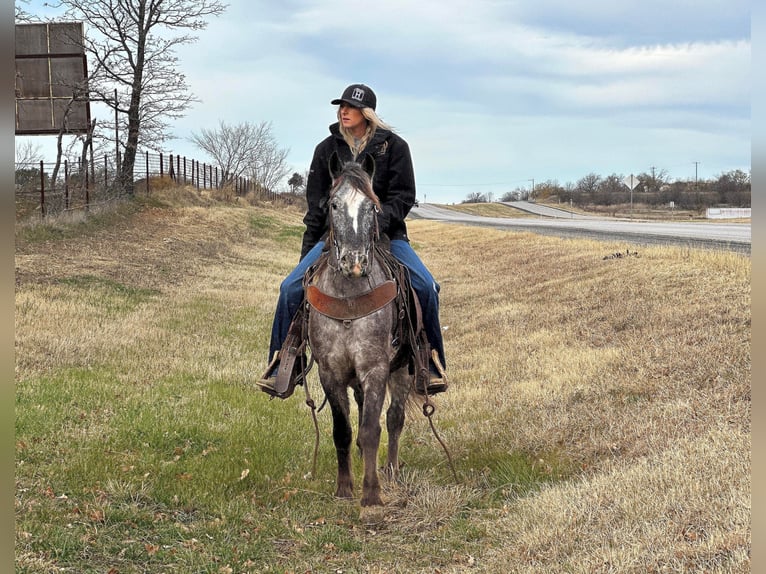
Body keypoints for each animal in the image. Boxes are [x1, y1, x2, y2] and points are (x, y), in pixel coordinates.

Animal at [304, 152, 416, 508]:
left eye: (372, 207)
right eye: (333, 204)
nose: (353, 262)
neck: (349, 303)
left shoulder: (375, 368)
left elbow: (371, 430)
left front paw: (372, 493)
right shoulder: (330, 372)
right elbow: (343, 431)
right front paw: (344, 488)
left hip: (403, 369)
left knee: (394, 418)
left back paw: (391, 471)